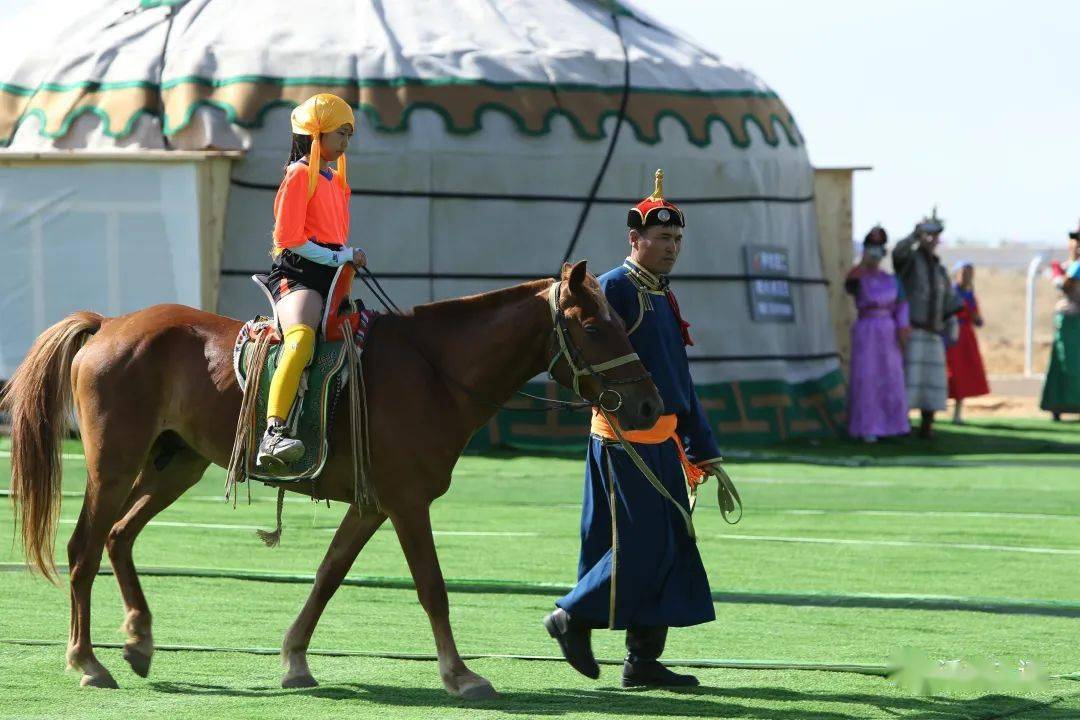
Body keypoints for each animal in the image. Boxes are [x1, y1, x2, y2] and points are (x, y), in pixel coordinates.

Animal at [2, 262, 656, 699]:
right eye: (595, 327)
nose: (649, 405)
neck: (434, 371)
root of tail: (108, 324)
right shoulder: (407, 502)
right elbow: (432, 588)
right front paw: (460, 674)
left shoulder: (373, 505)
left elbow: (328, 576)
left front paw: (295, 660)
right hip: (114, 464)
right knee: (84, 548)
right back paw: (88, 662)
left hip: (177, 464)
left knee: (120, 537)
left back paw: (138, 640)